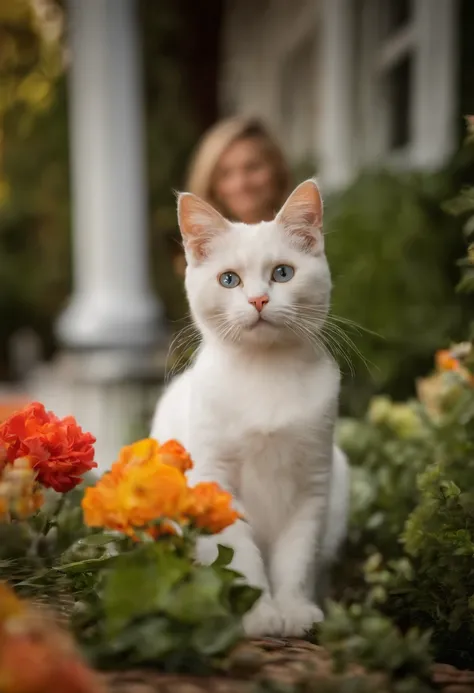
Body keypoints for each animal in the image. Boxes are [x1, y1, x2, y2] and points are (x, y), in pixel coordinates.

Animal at [150, 180, 350, 636]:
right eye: (229, 280)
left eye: (283, 273)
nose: (258, 300)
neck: (265, 372)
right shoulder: (215, 481)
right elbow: (239, 556)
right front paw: (258, 614)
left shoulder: (313, 486)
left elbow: (296, 559)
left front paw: (294, 610)